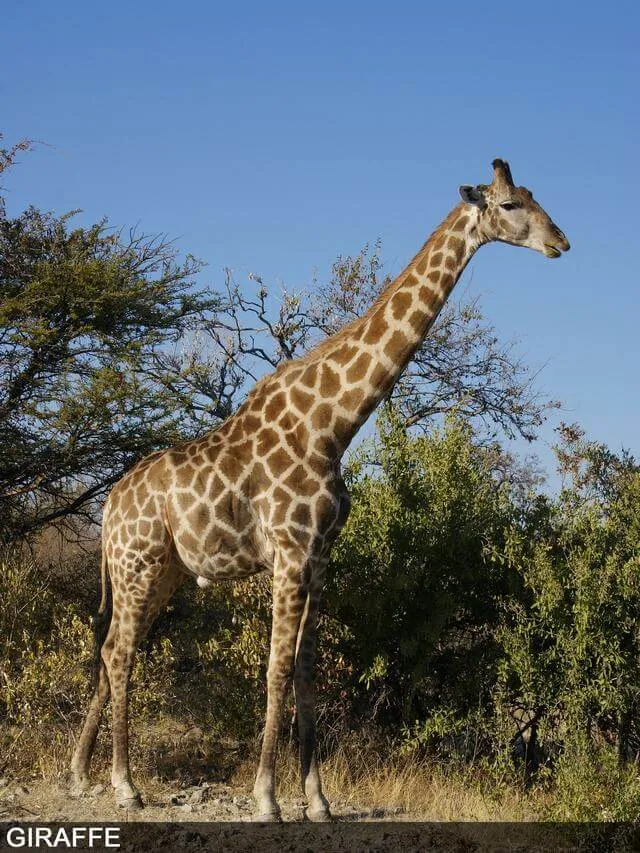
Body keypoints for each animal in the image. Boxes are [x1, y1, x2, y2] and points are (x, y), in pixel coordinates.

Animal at [70, 159, 569, 819]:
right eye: (511, 204)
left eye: (535, 196)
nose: (561, 242)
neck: (333, 425)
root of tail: (108, 506)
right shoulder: (288, 552)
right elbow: (277, 669)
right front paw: (266, 797)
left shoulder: (321, 556)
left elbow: (306, 671)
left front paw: (318, 799)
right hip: (138, 561)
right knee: (120, 653)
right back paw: (124, 784)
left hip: (164, 570)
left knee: (109, 649)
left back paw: (80, 774)